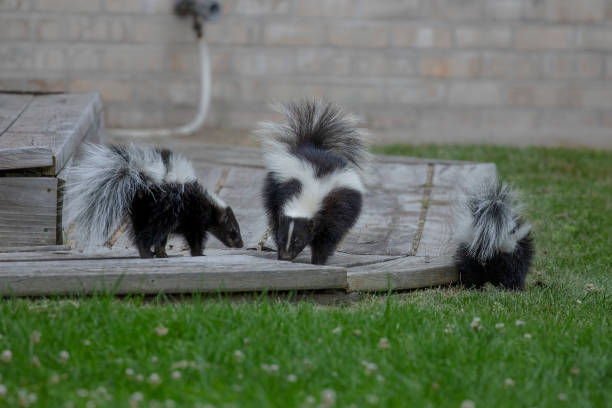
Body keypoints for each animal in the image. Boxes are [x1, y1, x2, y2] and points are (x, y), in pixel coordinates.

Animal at [67, 143, 244, 258]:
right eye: (233, 230)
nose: (240, 244)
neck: (208, 204)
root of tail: (144, 179)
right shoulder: (194, 218)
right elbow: (195, 237)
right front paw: (199, 253)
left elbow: (165, 239)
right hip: (164, 209)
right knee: (149, 233)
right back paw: (148, 253)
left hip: (142, 211)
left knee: (142, 232)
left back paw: (153, 253)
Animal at [256, 99, 368, 264]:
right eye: (283, 239)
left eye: (298, 240)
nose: (286, 257)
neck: (312, 190)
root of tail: (314, 146)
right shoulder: (283, 189)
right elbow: (277, 223)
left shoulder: (334, 211)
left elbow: (326, 238)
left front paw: (318, 261)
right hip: (272, 185)